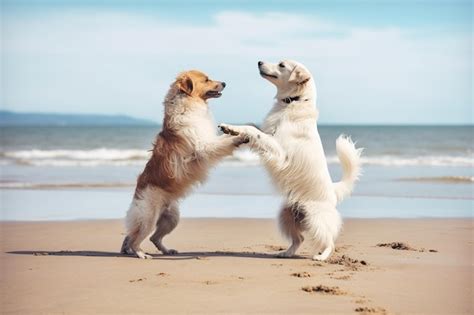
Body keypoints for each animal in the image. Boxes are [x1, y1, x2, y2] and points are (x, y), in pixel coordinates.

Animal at [120, 71, 246, 260]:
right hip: (148, 218)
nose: (224, 83)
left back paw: (165, 251)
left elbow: (224, 138)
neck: (188, 103)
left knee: (149, 237)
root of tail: (139, 188)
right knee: (136, 238)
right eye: (207, 80)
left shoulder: (209, 139)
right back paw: (141, 254)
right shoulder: (204, 146)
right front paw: (241, 136)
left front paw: (238, 131)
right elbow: (223, 143)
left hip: (172, 217)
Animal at [219, 59, 362, 262]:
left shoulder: (280, 151)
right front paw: (230, 130)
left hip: (315, 217)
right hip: (285, 215)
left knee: (329, 241)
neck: (293, 102)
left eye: (281, 65)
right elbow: (251, 127)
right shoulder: (268, 133)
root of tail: (334, 191)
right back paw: (285, 253)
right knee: (299, 239)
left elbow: (254, 131)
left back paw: (321, 257)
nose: (259, 61)